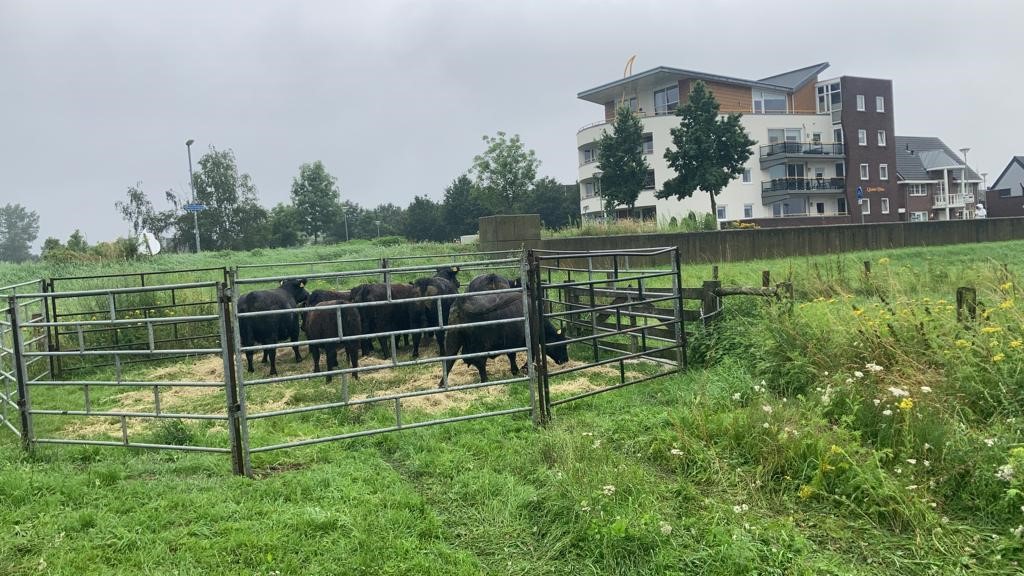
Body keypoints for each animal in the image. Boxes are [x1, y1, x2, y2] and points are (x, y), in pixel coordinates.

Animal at [440, 291, 569, 385]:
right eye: (561, 344)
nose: (566, 360)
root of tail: (462, 301)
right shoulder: (530, 341)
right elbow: (530, 355)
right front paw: (525, 368)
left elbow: (511, 355)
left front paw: (515, 370)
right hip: (480, 345)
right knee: (480, 362)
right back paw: (485, 381)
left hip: (453, 339)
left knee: (448, 361)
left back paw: (442, 384)